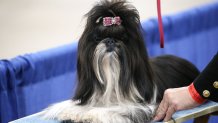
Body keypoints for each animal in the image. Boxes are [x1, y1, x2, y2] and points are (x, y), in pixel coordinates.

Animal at [42, 0, 199, 122]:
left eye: (123, 38)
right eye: (98, 38)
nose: (110, 40)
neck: (113, 75)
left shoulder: (143, 107)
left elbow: (115, 109)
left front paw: (91, 114)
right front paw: (71, 111)